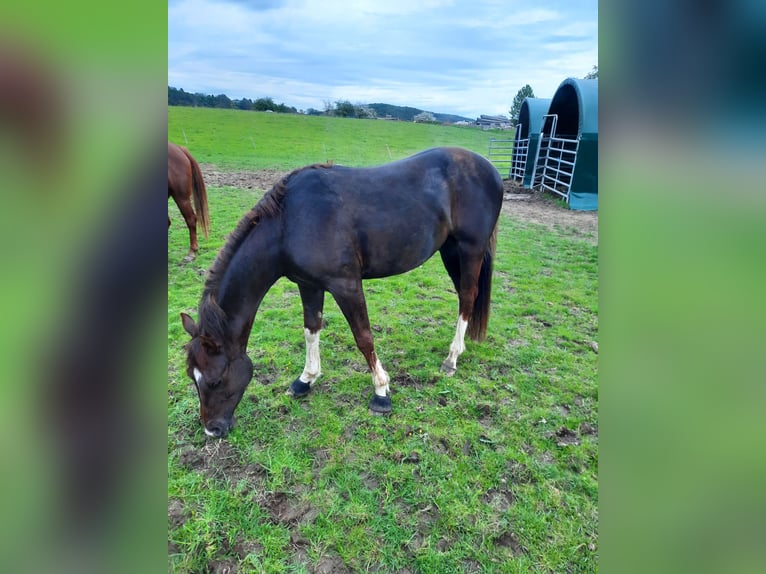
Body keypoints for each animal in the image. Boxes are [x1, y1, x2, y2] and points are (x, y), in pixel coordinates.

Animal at [179, 147, 504, 436]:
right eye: (192, 378)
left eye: (215, 380)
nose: (212, 429)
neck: (289, 222)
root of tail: (489, 169)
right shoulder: (308, 284)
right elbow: (311, 329)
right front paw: (305, 379)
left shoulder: (346, 285)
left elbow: (363, 337)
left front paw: (381, 392)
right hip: (450, 250)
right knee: (466, 298)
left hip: (470, 250)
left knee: (467, 296)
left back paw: (452, 358)